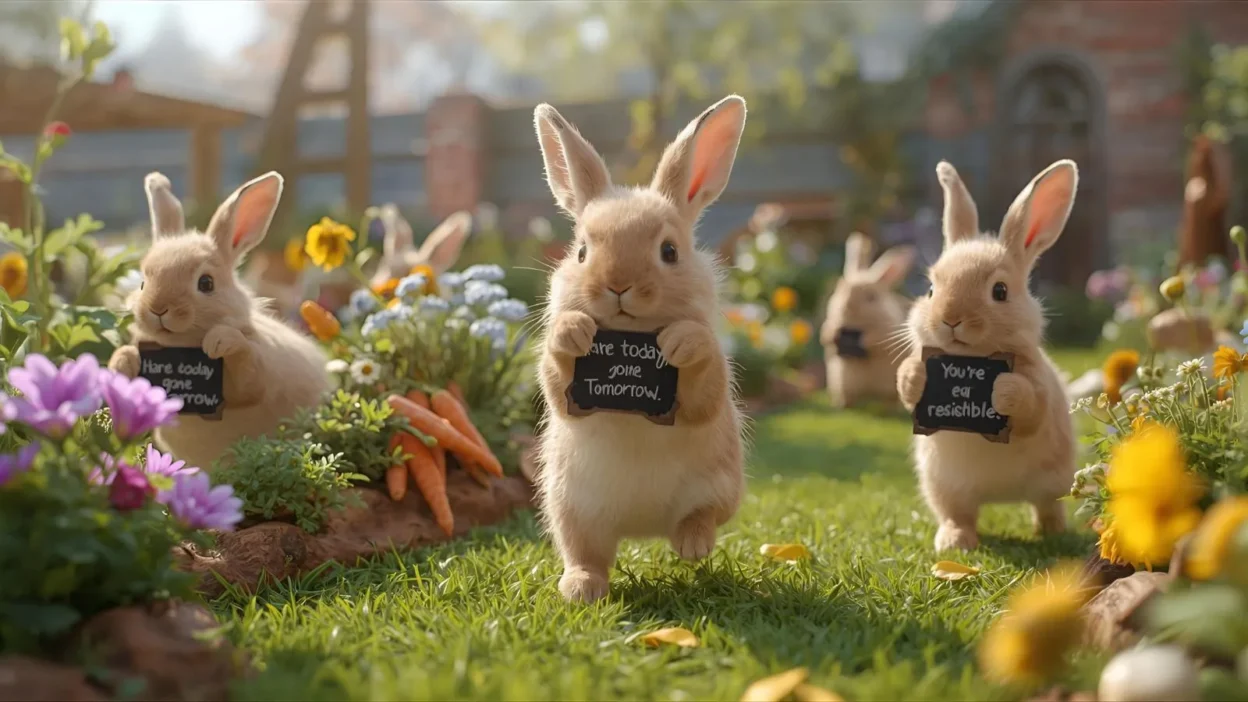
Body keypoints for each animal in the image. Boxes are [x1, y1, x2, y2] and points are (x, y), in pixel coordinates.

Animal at [108, 172, 330, 472]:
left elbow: (248, 371)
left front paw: (219, 341)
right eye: (143, 283)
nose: (158, 308)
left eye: (206, 283)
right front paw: (123, 360)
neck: (181, 344)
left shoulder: (257, 373)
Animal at [533, 95, 748, 604]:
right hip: (571, 510)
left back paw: (692, 545)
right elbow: (556, 377)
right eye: (581, 252)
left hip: (721, 485)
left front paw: (678, 341)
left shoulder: (706, 393)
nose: (618, 285)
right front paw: (573, 331)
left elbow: (704, 386)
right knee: (586, 554)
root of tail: (643, 528)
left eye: (669, 251)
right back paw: (580, 588)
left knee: (702, 517)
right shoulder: (567, 393)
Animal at [820, 232, 916, 408]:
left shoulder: (886, 331)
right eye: (841, 289)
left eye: (871, 297)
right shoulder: (831, 322)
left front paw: (861, 342)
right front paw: (835, 337)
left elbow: (875, 339)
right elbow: (827, 334)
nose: (849, 306)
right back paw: (841, 405)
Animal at [896, 159, 1079, 552]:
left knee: (1046, 507)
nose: (950, 318)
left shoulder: (1037, 388)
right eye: (931, 289)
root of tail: (1001, 496)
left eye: (1000, 291)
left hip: (1055, 483)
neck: (974, 357)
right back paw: (954, 541)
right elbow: (906, 386)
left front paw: (1002, 389)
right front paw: (916, 376)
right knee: (959, 515)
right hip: (945, 488)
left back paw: (1053, 531)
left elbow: (1029, 405)